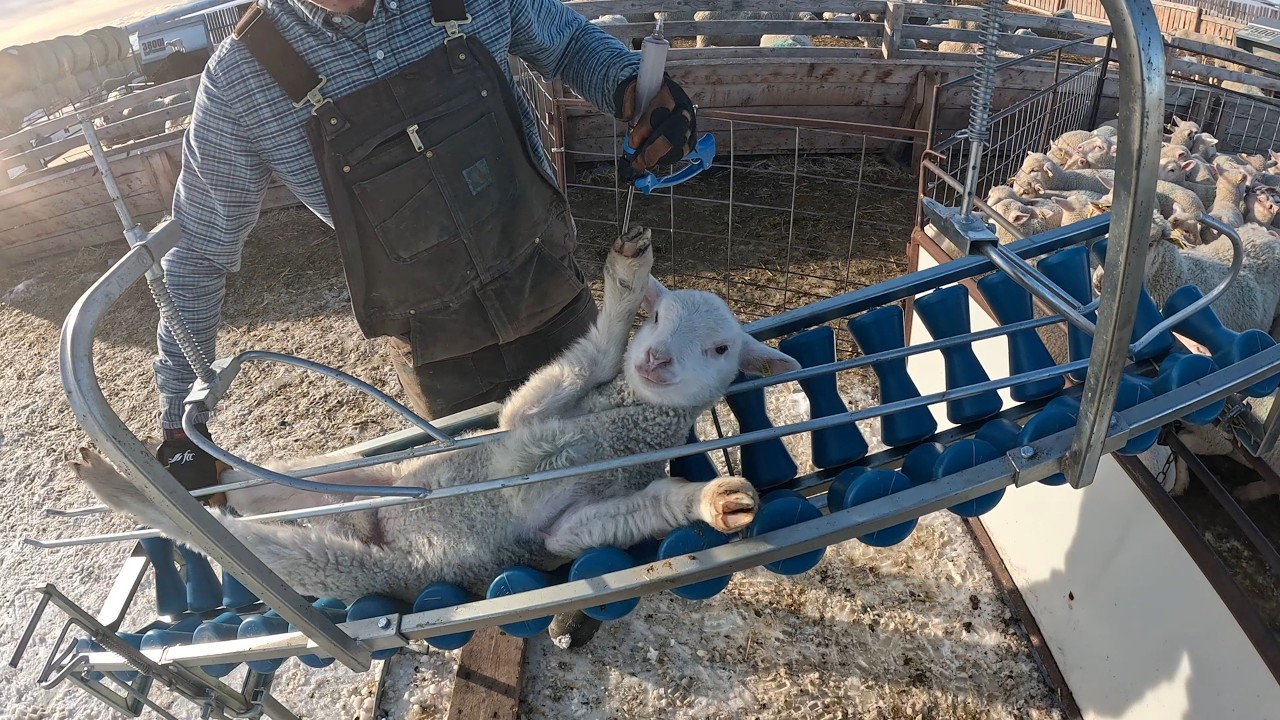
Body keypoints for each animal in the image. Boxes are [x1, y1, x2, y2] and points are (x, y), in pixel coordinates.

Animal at [69, 227, 801, 603]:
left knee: (238, 538)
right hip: (368, 477)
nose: (652, 360)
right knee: (258, 496)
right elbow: (581, 363)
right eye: (654, 318)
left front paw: (717, 501)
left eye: (720, 348)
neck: (617, 426)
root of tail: (377, 528)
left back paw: (129, 488)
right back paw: (173, 476)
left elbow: (626, 517)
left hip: (337, 561)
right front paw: (623, 280)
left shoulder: (570, 528)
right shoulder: (528, 415)